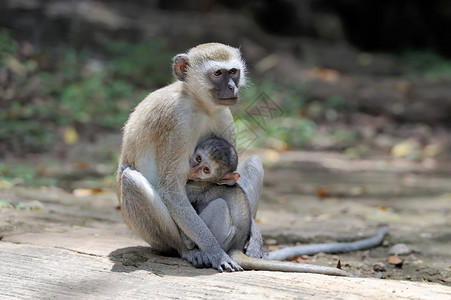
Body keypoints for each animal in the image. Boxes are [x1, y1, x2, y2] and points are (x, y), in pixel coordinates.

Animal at [118, 42, 264, 272]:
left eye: (233, 72)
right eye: (218, 73)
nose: (232, 87)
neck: (199, 104)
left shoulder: (224, 115)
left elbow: (233, 179)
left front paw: (256, 238)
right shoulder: (178, 121)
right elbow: (171, 190)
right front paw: (216, 252)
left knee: (254, 162)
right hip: (152, 236)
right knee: (131, 180)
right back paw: (187, 250)